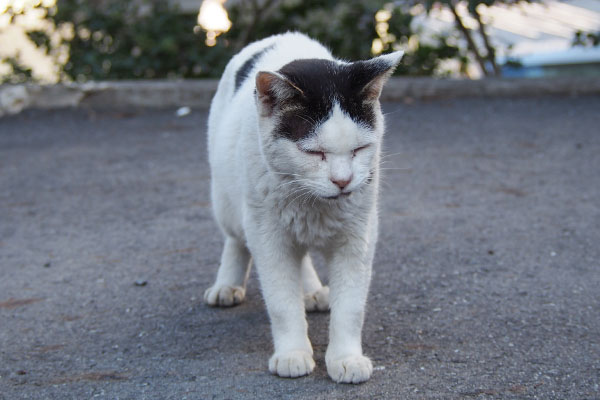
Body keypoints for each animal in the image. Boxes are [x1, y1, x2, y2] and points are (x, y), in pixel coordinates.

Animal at [203, 32, 404, 382]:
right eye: (314, 153)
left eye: (359, 149)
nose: (343, 180)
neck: (314, 202)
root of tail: (282, 36)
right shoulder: (268, 237)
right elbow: (282, 302)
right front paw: (293, 353)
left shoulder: (358, 238)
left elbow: (351, 307)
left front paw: (346, 358)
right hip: (227, 200)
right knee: (236, 239)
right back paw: (227, 284)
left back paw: (311, 291)